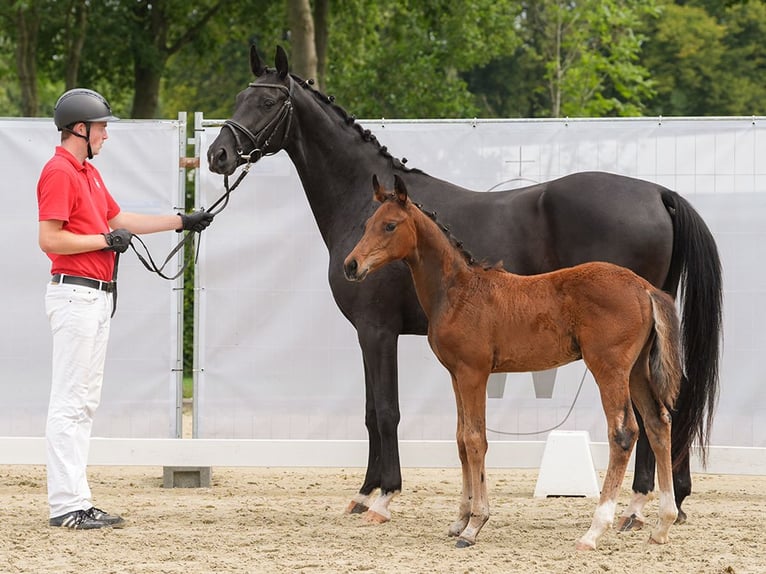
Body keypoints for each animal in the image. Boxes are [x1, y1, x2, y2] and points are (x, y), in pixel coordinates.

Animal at [207, 46, 724, 532]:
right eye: (238, 97)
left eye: (268, 100)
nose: (218, 155)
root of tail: (657, 192)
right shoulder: (376, 336)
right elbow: (375, 411)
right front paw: (365, 492)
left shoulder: (376, 331)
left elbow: (385, 411)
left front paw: (382, 496)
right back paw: (663, 502)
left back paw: (636, 507)